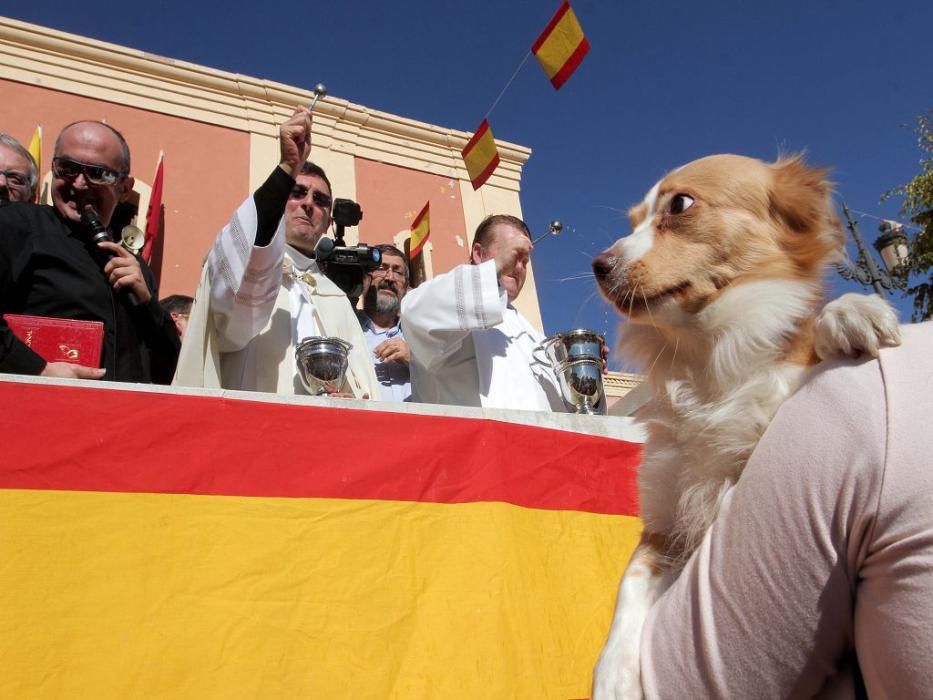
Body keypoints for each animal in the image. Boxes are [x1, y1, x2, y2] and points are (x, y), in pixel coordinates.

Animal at [588, 156, 900, 696]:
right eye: (632, 222)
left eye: (679, 205)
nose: (599, 265)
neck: (711, 361)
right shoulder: (664, 529)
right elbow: (628, 590)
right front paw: (612, 678)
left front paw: (850, 311)